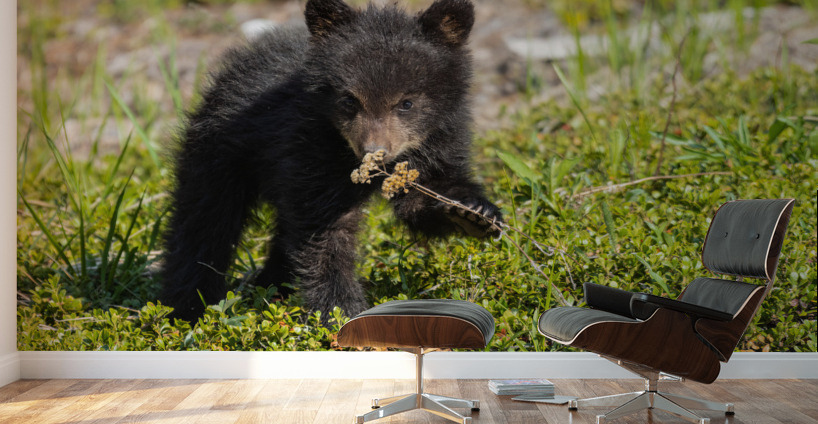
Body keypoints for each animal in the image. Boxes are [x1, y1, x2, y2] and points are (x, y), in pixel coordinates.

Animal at [160, 0, 502, 322]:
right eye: (350, 99)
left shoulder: (437, 141)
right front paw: (340, 311)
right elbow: (325, 234)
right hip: (222, 150)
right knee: (205, 221)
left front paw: (473, 213)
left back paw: (271, 287)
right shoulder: (310, 148)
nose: (373, 151)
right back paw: (190, 307)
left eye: (406, 103)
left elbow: (423, 196)